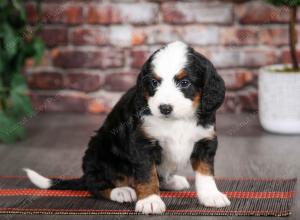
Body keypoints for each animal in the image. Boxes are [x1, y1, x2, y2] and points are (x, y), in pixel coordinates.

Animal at [24, 40, 231, 213]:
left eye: (185, 83)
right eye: (154, 82)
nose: (164, 108)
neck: (177, 120)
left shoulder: (205, 140)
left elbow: (205, 173)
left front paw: (211, 195)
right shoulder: (142, 142)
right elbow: (147, 174)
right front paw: (150, 201)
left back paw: (172, 181)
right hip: (101, 151)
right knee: (96, 184)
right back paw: (121, 191)